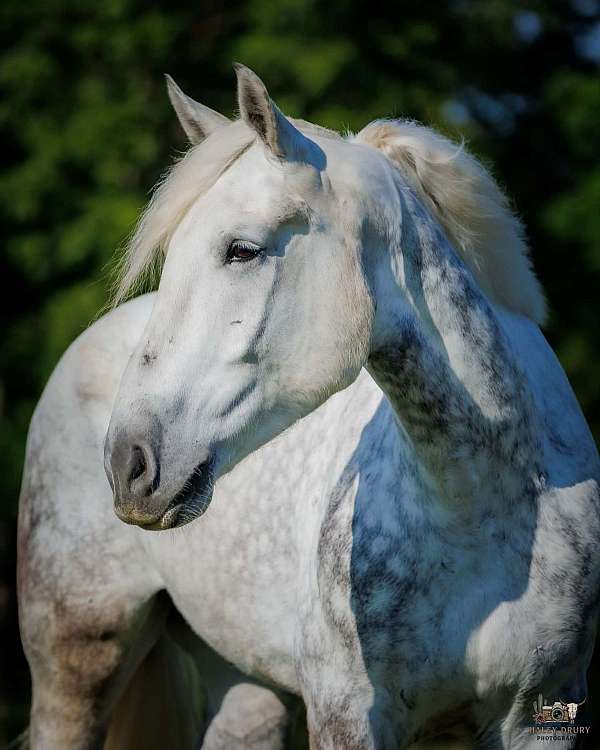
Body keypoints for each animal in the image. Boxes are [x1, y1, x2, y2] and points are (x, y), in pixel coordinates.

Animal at [17, 64, 600, 750]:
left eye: (242, 250)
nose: (128, 463)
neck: (482, 500)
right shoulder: (347, 714)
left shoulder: (539, 715)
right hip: (74, 663)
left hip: (244, 689)